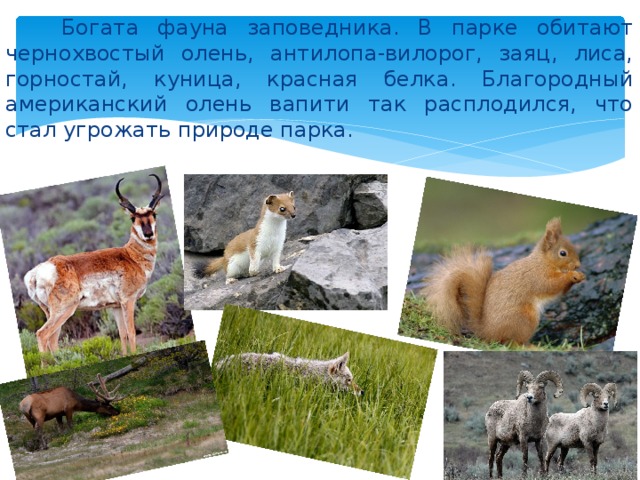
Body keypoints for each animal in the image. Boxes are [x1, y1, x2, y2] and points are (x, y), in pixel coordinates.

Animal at [23, 174, 164, 357]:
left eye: (154, 214)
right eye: (133, 218)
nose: (148, 234)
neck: (131, 256)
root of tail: (37, 272)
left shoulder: (116, 306)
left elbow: (122, 334)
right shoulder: (128, 300)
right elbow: (132, 332)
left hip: (50, 312)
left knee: (52, 340)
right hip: (64, 310)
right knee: (42, 334)